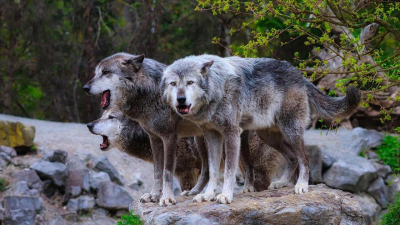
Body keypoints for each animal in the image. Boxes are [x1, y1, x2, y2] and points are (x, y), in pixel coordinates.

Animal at [161, 54, 360, 204]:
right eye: (173, 83)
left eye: (190, 82)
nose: (180, 99)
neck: (217, 86)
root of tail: (300, 75)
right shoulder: (212, 136)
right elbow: (213, 170)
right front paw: (208, 195)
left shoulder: (231, 133)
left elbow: (229, 171)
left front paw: (225, 195)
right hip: (269, 137)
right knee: (293, 158)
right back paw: (282, 183)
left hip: (291, 131)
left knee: (304, 160)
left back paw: (301, 186)